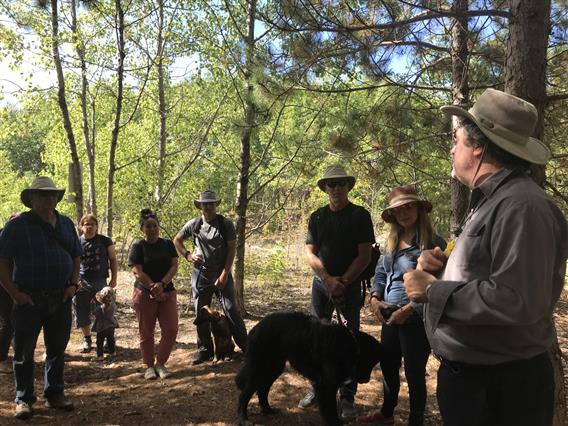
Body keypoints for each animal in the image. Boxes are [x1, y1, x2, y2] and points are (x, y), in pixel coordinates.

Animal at [235, 310, 382, 426]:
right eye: (369, 362)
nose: (366, 380)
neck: (349, 345)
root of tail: (256, 327)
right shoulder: (327, 385)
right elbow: (330, 409)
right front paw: (334, 423)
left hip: (273, 368)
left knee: (262, 390)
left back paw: (268, 410)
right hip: (259, 369)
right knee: (244, 394)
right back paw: (243, 419)